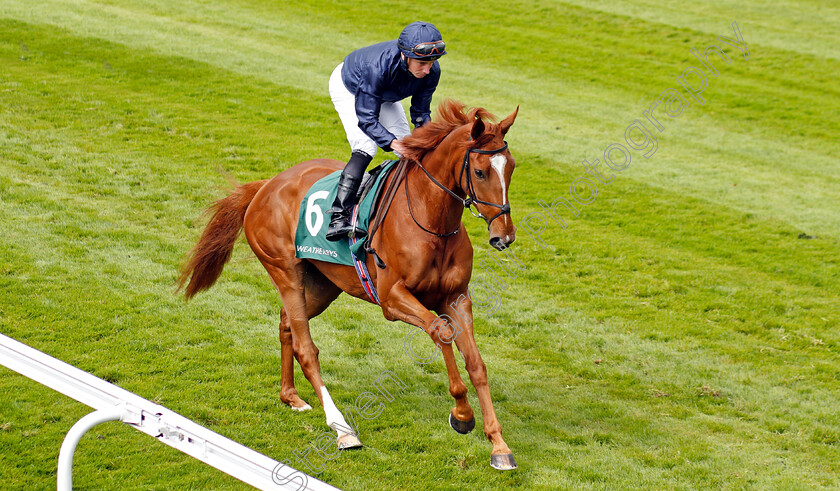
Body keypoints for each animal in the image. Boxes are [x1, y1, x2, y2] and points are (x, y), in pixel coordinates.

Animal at [178, 100, 520, 472]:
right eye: (480, 172)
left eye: (511, 168)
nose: (504, 236)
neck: (432, 222)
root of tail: (267, 185)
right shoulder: (393, 298)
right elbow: (440, 331)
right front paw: (461, 414)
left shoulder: (456, 297)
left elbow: (476, 363)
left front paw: (498, 445)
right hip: (284, 270)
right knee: (306, 348)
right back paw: (341, 429)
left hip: (322, 285)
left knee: (287, 325)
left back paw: (291, 396)